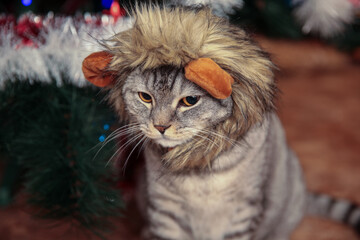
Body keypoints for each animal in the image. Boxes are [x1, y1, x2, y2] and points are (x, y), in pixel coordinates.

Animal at [82, 3, 360, 240]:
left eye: (189, 100)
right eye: (145, 97)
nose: (160, 126)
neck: (198, 169)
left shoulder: (241, 211)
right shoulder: (165, 209)